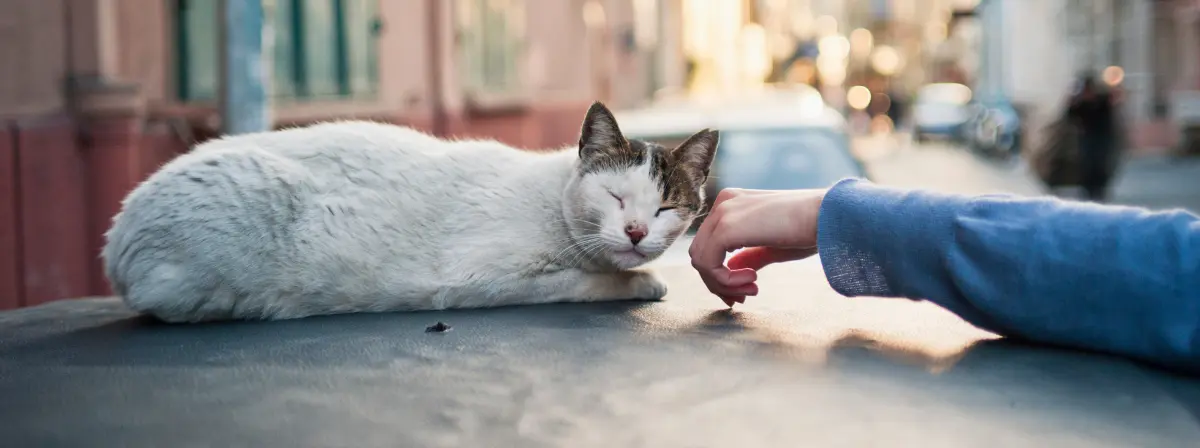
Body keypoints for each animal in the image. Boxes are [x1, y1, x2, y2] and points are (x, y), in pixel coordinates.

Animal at [100, 101, 710, 321]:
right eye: (616, 198)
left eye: (664, 208)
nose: (635, 231)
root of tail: (116, 238)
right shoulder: (482, 279)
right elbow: (586, 282)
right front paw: (643, 282)